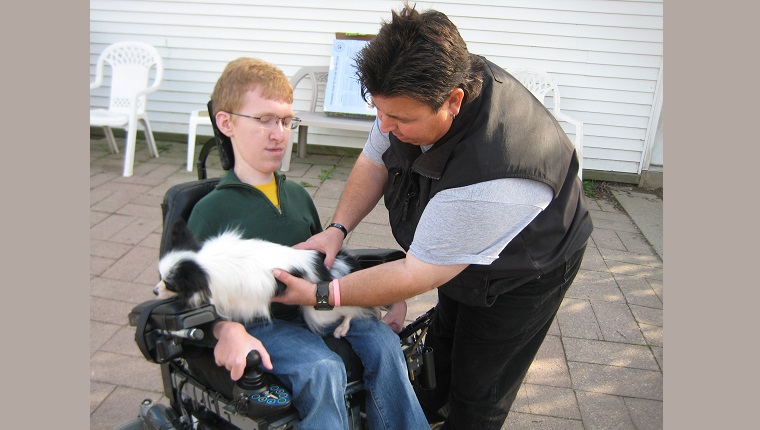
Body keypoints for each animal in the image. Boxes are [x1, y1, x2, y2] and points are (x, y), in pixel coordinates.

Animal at [155, 222, 378, 340]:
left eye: (170, 284)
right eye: (160, 277)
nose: (155, 291)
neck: (205, 264)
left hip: (318, 313)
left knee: (353, 311)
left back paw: (342, 328)